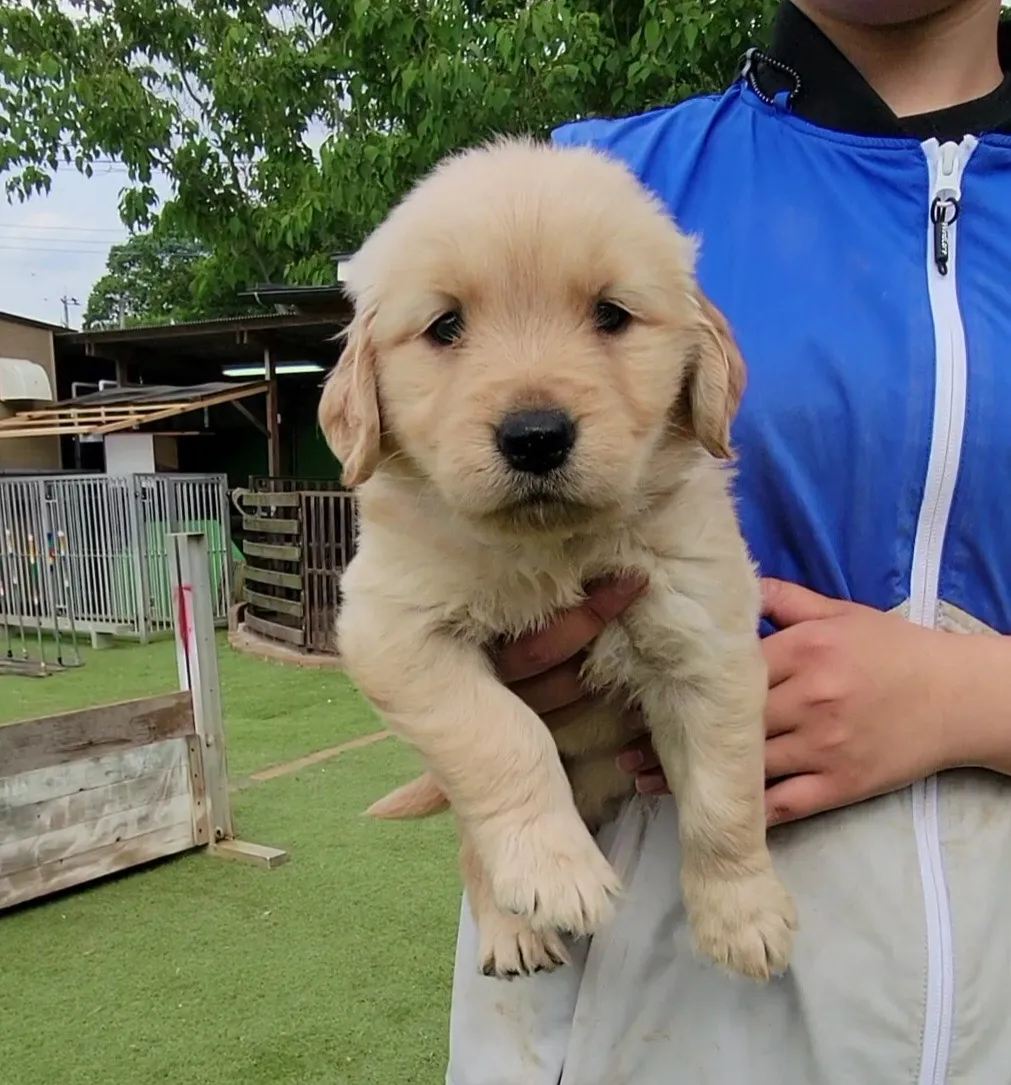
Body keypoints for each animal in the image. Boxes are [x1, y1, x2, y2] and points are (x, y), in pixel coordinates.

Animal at [321, 135, 798, 985]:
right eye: (445, 326)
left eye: (610, 313)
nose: (535, 435)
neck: (550, 547)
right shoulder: (395, 628)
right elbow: (502, 735)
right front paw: (556, 873)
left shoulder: (704, 636)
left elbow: (724, 795)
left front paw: (743, 913)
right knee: (473, 848)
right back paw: (512, 928)